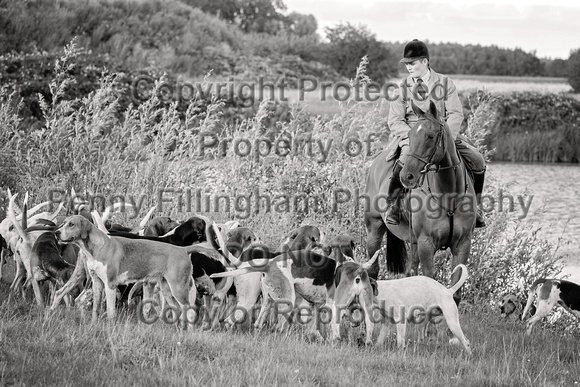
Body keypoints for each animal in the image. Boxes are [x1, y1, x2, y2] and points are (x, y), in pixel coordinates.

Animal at [368, 99, 476, 304]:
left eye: (430, 136)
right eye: (410, 135)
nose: (406, 176)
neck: (448, 196)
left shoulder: (462, 244)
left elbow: (455, 293)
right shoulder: (427, 243)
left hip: (413, 241)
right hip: (374, 227)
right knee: (371, 271)